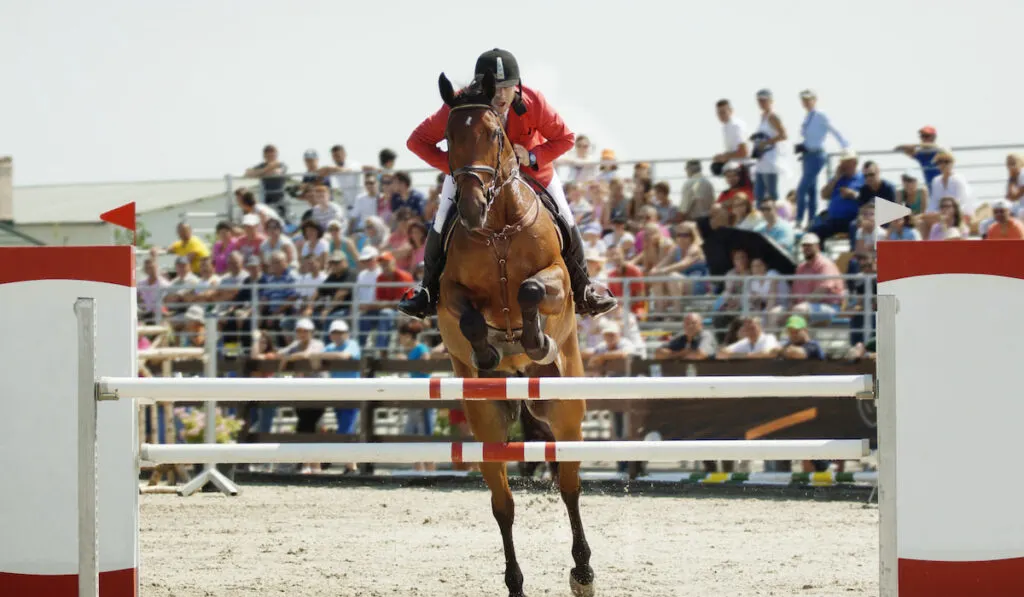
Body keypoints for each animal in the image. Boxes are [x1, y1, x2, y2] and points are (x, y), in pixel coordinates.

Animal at [434, 71, 598, 597]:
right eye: (448, 137)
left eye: (494, 134)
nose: (469, 207)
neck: (499, 226)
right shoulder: (448, 294)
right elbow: (468, 317)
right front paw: (489, 352)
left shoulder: (557, 279)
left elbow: (529, 289)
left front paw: (534, 340)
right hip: (487, 420)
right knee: (503, 505)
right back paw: (515, 582)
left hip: (565, 409)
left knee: (569, 487)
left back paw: (583, 573)